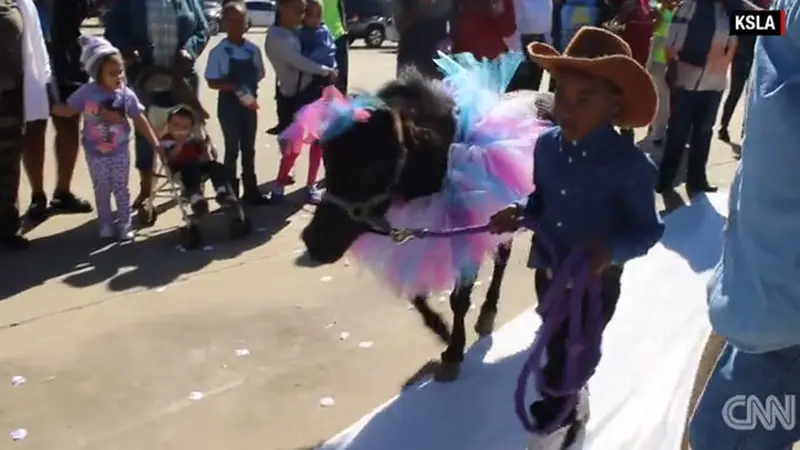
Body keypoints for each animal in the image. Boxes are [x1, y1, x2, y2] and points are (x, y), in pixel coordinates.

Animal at [302, 68, 556, 382]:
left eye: (373, 166)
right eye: (327, 158)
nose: (314, 242)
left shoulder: (466, 231)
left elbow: (459, 298)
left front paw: (453, 352)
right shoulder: (421, 235)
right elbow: (417, 294)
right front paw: (441, 330)